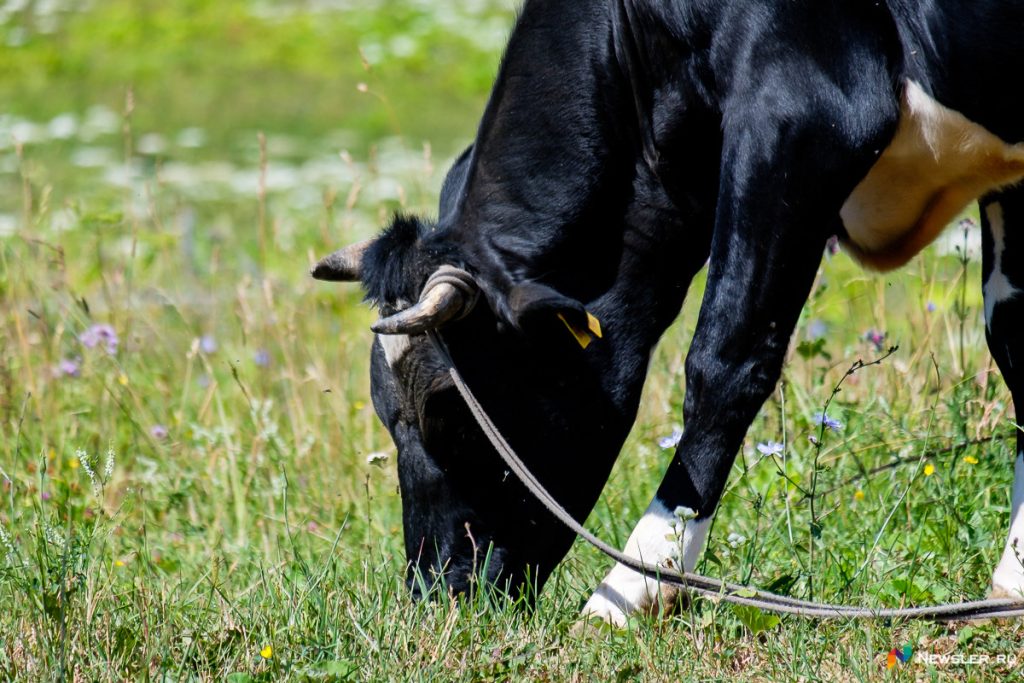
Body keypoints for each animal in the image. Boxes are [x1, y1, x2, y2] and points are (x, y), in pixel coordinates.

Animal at [313, 0, 1024, 626]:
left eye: (453, 420)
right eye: (386, 414)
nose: (436, 595)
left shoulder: (803, 117)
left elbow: (727, 358)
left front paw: (634, 587)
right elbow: (1015, 344)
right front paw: (1014, 580)